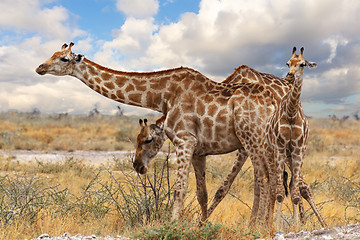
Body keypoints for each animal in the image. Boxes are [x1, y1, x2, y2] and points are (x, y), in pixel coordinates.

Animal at [268, 47, 318, 231]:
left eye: (303, 64)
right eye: (287, 63)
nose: (289, 75)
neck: (290, 113)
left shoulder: (298, 149)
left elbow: (295, 193)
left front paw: (297, 227)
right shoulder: (280, 148)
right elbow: (280, 193)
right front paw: (278, 227)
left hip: (292, 155)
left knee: (291, 185)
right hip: (276, 154)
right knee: (277, 185)